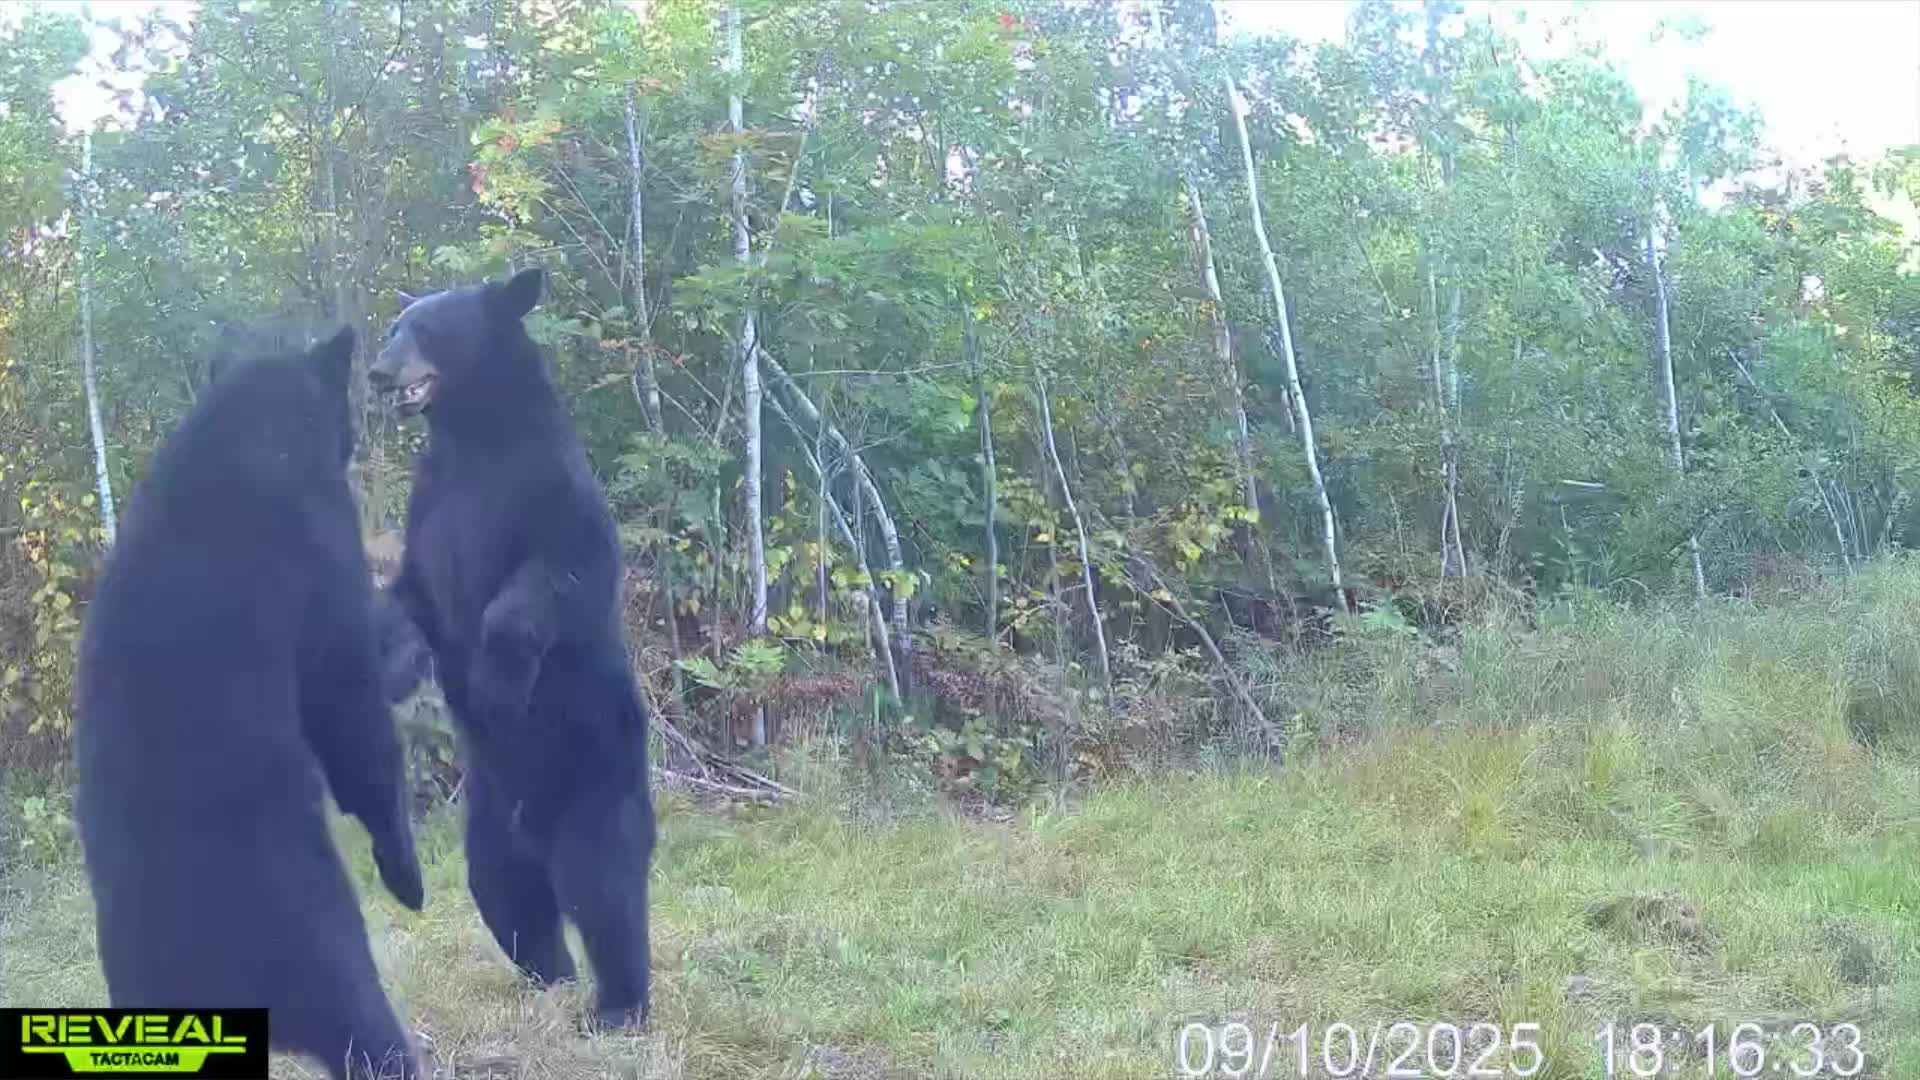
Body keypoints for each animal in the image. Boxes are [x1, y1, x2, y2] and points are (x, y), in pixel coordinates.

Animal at [73, 325, 425, 1080]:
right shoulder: (321, 550)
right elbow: (349, 706)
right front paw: (407, 873)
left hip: (138, 982)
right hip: (312, 933)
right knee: (362, 1023)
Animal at [368, 267, 655, 1029]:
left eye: (427, 328)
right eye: (392, 327)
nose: (378, 372)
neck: (475, 438)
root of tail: (536, 827)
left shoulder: (547, 488)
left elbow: (560, 572)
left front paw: (498, 681)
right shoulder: (431, 507)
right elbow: (412, 596)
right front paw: (390, 667)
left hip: (597, 777)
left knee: (605, 887)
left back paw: (617, 1005)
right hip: (490, 820)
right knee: (507, 894)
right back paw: (547, 978)